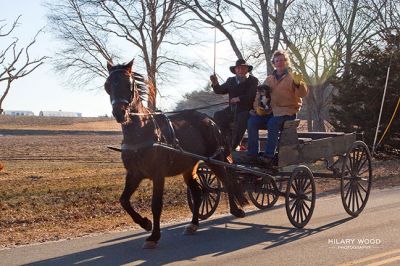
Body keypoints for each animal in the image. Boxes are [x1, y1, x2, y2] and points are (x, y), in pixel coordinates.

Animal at [103, 59, 247, 248]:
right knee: (198, 193)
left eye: (129, 84)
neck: (142, 131)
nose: (119, 113)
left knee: (227, 181)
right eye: (107, 85)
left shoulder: (158, 174)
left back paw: (236, 210)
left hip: (215, 159)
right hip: (189, 168)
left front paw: (154, 236)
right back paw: (193, 224)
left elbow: (156, 205)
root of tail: (210, 120)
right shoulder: (134, 173)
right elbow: (124, 200)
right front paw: (145, 223)